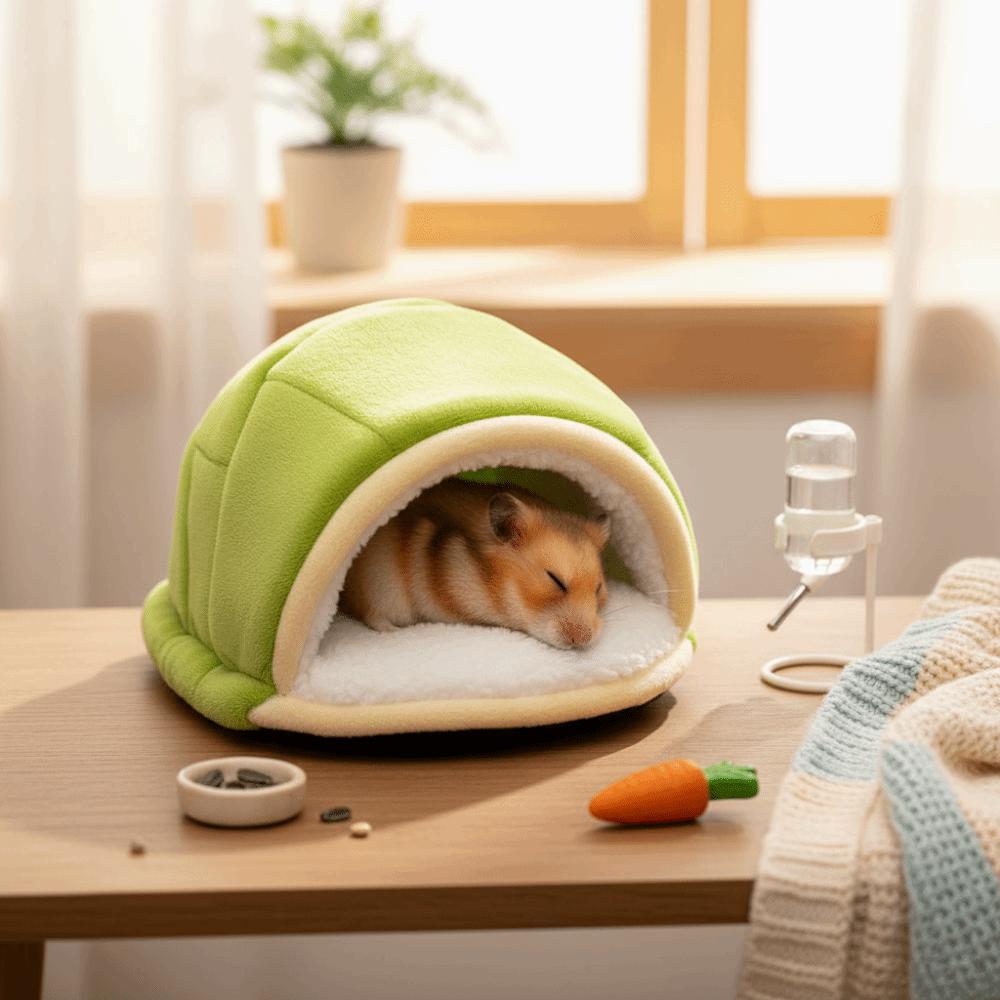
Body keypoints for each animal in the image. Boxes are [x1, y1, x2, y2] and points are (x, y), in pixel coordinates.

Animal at [340, 478, 611, 649]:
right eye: (555, 580)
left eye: (598, 588)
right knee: (370, 615)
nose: (582, 641)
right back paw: (394, 631)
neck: (493, 584)